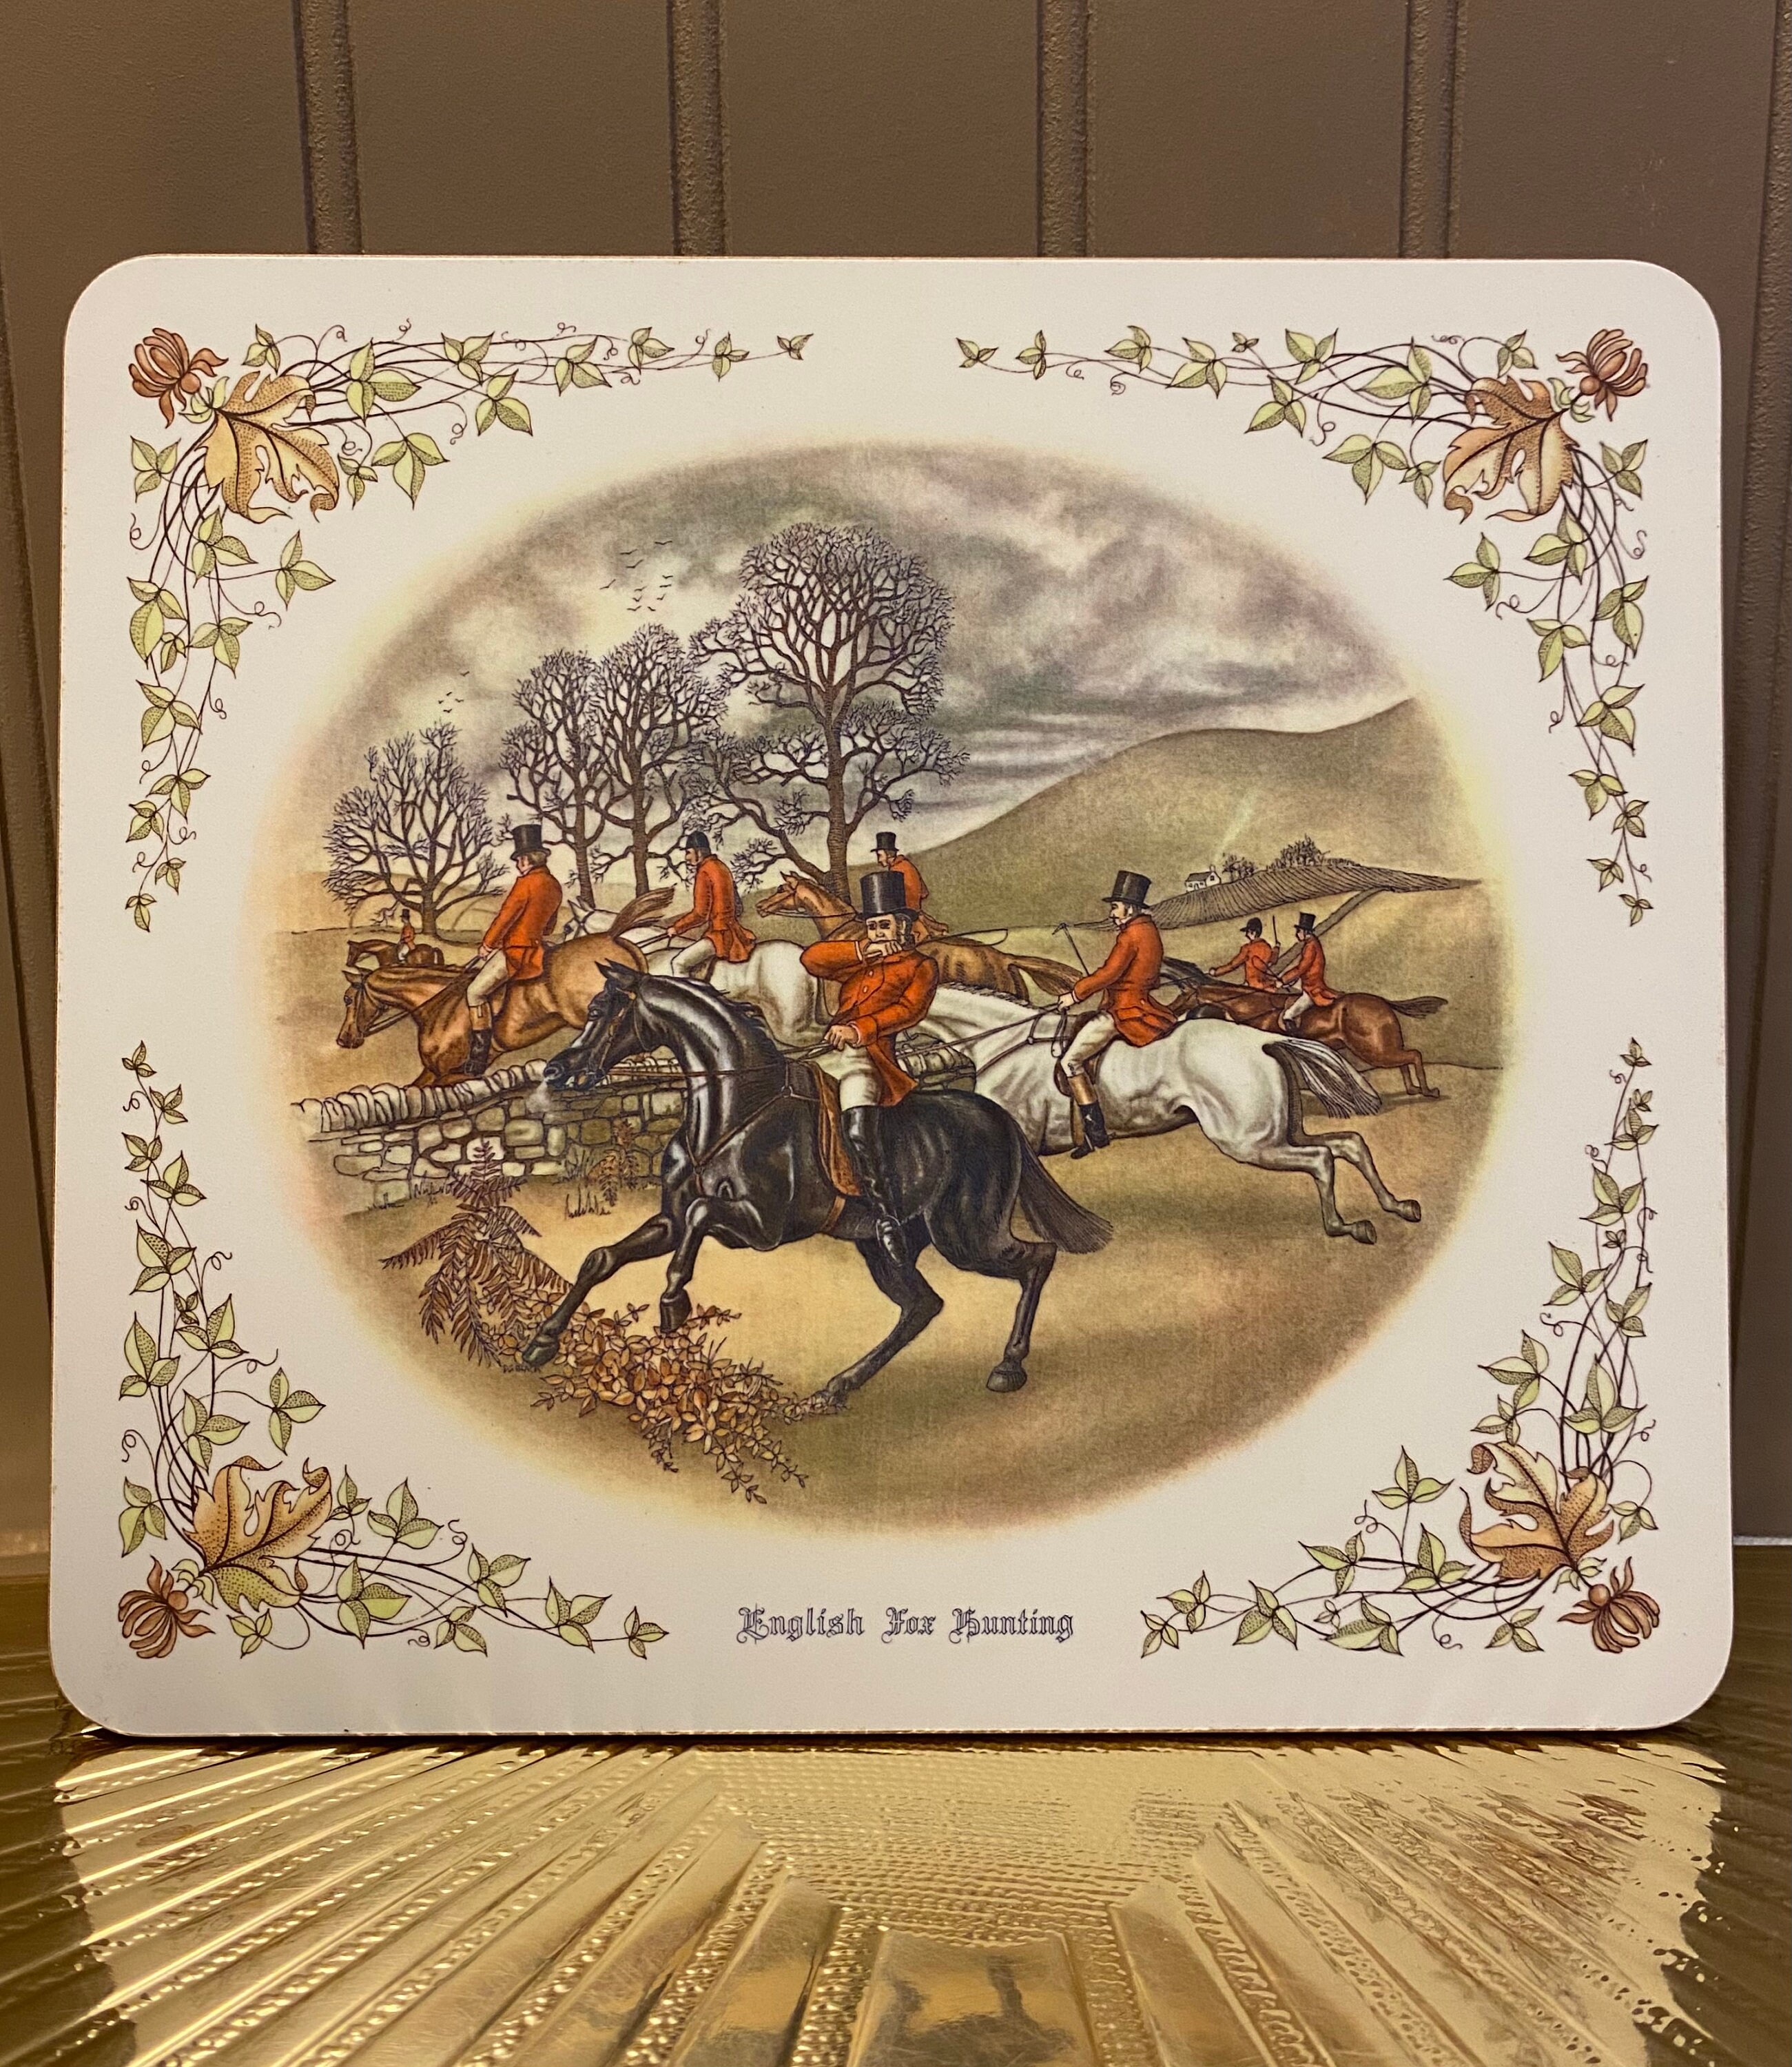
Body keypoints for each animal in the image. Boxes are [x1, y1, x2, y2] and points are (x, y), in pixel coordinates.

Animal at [335, 890, 670, 1086]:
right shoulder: (437, 1073)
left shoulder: (448, 1073)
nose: (343, 1040)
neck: (435, 1002)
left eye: (348, 998)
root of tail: (614, 937)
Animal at [518, 968, 1112, 1409]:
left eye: (600, 1012)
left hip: (967, 1237)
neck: (735, 1108)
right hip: (885, 1247)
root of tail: (995, 1115)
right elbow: (602, 1257)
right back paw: (837, 1389)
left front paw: (672, 1301)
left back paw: (1008, 1366)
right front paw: (542, 1342)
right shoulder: (669, 1219)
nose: (556, 1071)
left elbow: (702, 1215)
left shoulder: (763, 1227)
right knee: (922, 1306)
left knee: (1037, 1258)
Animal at [915, 983, 1421, 1245]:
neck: (1002, 1042)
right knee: (1349, 1144)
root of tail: (1263, 1039)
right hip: (1281, 1130)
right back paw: (1397, 1206)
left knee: (1322, 1159)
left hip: (1249, 1141)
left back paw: (1344, 1226)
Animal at [1165, 965, 1446, 1098]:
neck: (1256, 1006)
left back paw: (1427, 1091)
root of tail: (1382, 1002)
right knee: (1405, 1058)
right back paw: (1413, 1089)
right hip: (1383, 1045)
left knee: (1414, 1055)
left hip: (1373, 1049)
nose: (1169, 1012)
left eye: (1183, 996)